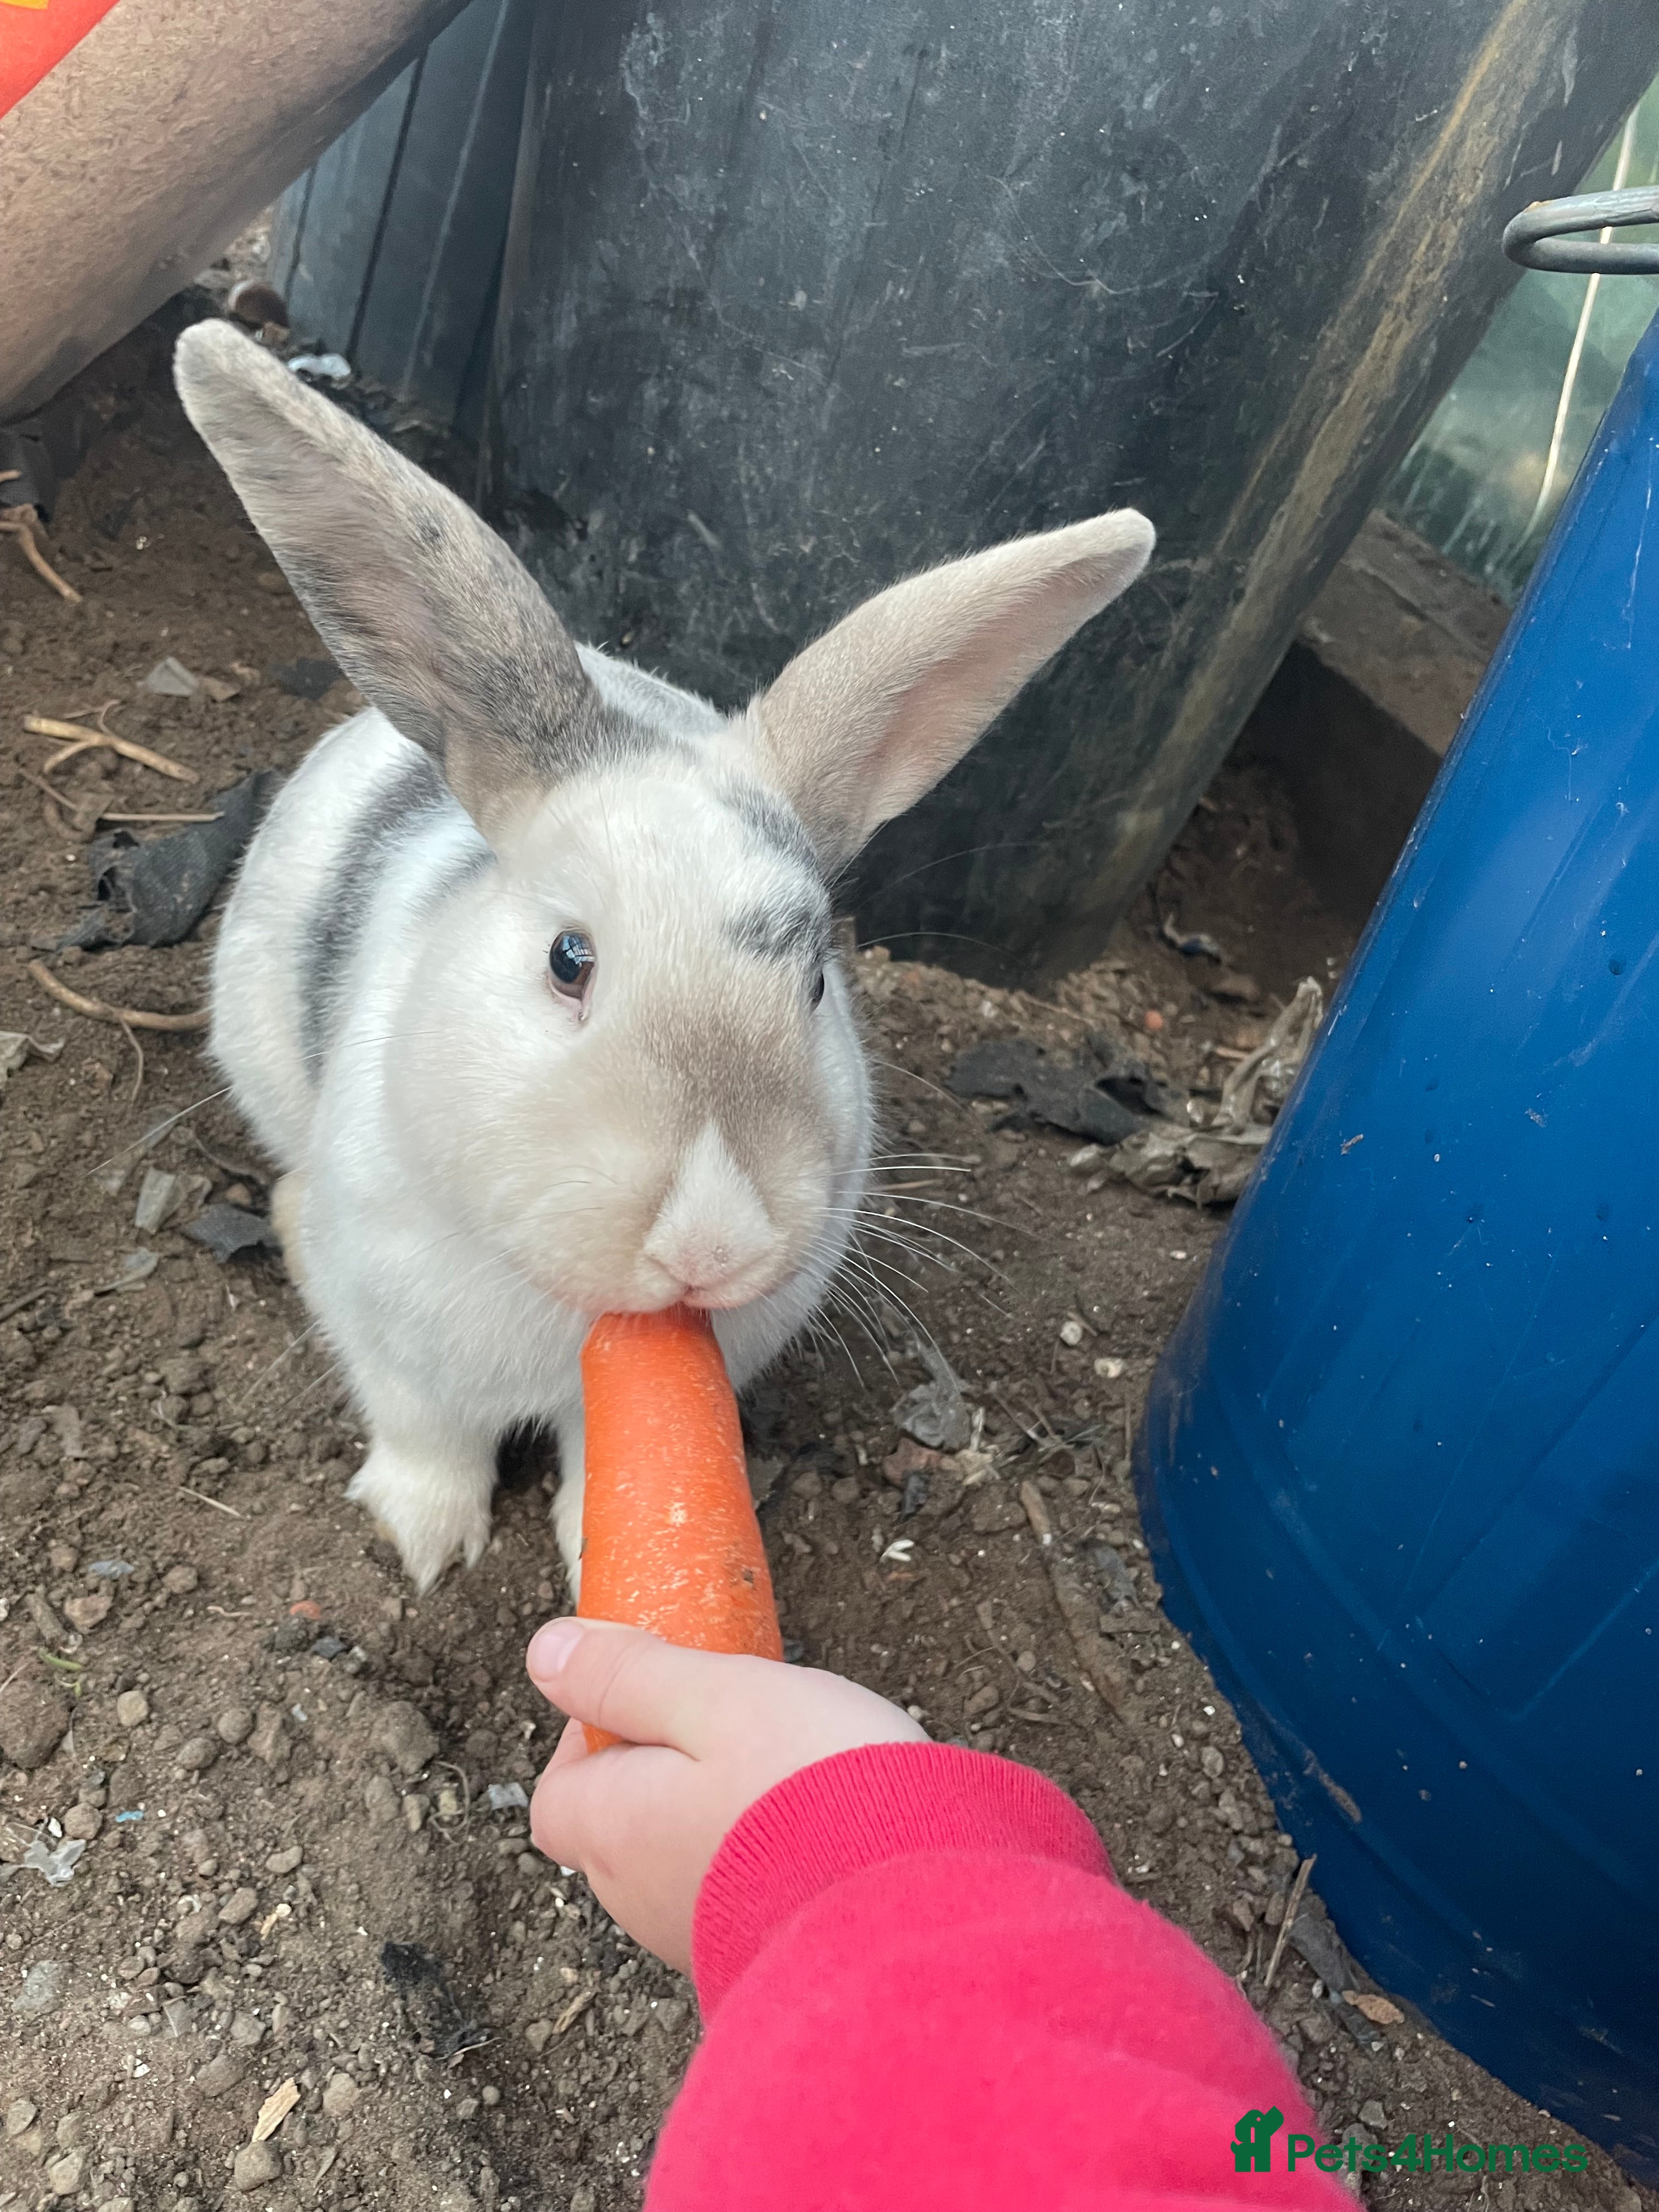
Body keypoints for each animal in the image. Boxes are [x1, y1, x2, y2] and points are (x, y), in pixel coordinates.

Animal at [172, 320, 1154, 1595]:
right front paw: (426, 1545)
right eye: (568, 959)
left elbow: (608, 1469)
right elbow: (427, 1437)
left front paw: (598, 1556)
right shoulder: (400, 1344)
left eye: (817, 981)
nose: (709, 1242)